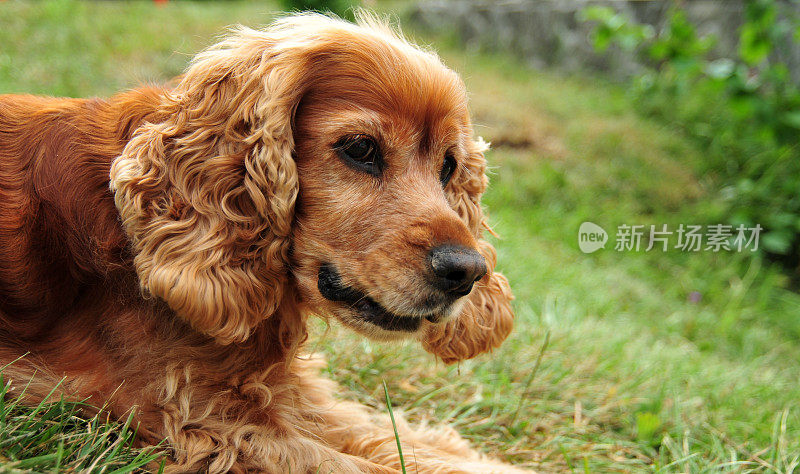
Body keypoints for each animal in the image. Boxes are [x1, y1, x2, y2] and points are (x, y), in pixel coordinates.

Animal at [0, 12, 520, 474]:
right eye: (360, 149)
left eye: (449, 166)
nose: (467, 272)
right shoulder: (210, 426)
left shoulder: (285, 393)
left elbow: (405, 441)